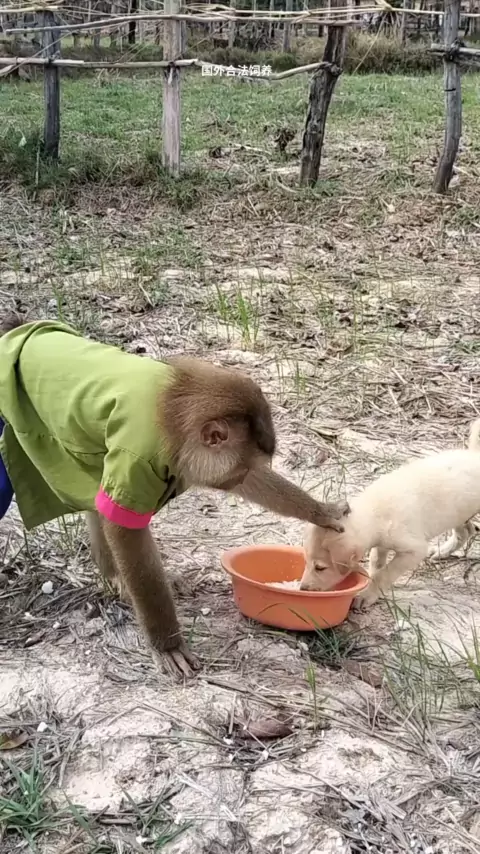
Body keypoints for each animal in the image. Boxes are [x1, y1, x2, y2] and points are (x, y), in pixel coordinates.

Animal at [0, 315, 349, 676]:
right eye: (238, 469)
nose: (239, 475)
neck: (173, 415)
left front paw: (322, 512)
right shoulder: (137, 456)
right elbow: (124, 527)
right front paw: (167, 643)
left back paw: (113, 575)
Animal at [300, 419, 480, 608]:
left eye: (320, 568)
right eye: (306, 562)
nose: (303, 588)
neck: (375, 512)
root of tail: (475, 455)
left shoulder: (414, 550)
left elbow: (385, 573)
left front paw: (367, 594)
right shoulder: (381, 544)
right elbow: (376, 563)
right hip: (458, 512)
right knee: (466, 531)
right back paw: (442, 551)